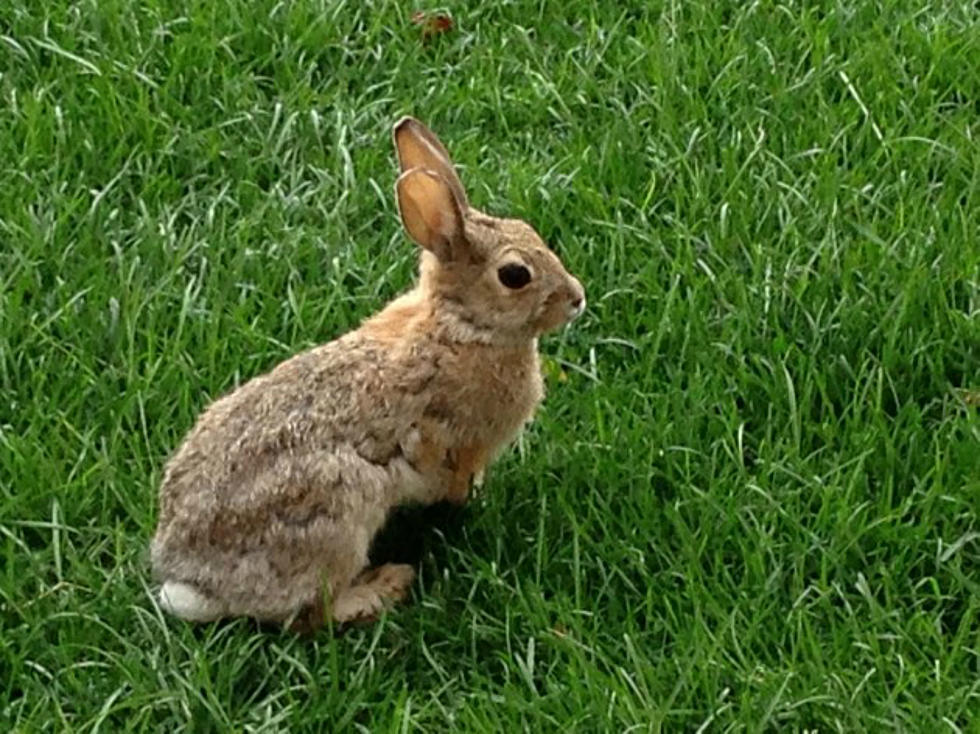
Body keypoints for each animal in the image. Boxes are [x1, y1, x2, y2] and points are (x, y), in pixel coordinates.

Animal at [149, 116, 584, 632]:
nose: (577, 298)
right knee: (310, 616)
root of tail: (196, 585)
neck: (460, 327)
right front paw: (465, 498)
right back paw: (384, 586)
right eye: (515, 275)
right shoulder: (454, 438)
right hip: (338, 512)